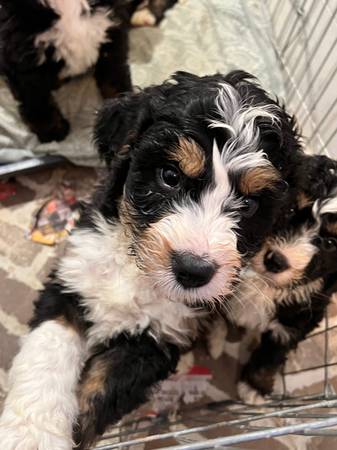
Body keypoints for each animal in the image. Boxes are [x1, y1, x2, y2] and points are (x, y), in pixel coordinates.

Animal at [0, 71, 300, 450]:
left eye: (248, 205)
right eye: (169, 176)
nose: (193, 270)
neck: (136, 269)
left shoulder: (155, 341)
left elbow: (99, 395)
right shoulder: (73, 279)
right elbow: (47, 352)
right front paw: (31, 433)